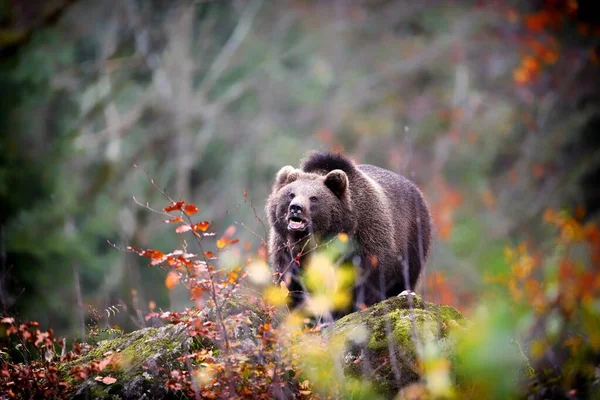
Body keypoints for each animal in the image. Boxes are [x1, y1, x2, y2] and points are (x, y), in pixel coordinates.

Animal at [268, 150, 432, 312]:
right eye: (291, 194)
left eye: (313, 198)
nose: (296, 208)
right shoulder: (287, 250)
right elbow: (293, 283)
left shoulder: (366, 238)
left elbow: (366, 280)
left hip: (413, 236)